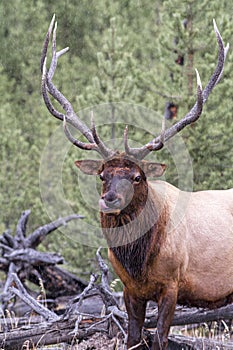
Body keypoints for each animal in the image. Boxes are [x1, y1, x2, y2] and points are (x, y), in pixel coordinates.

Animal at [41, 16, 232, 350]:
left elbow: (160, 339)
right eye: (102, 174)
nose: (110, 199)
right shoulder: (130, 289)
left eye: (137, 176)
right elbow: (132, 337)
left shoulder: (172, 284)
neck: (138, 261)